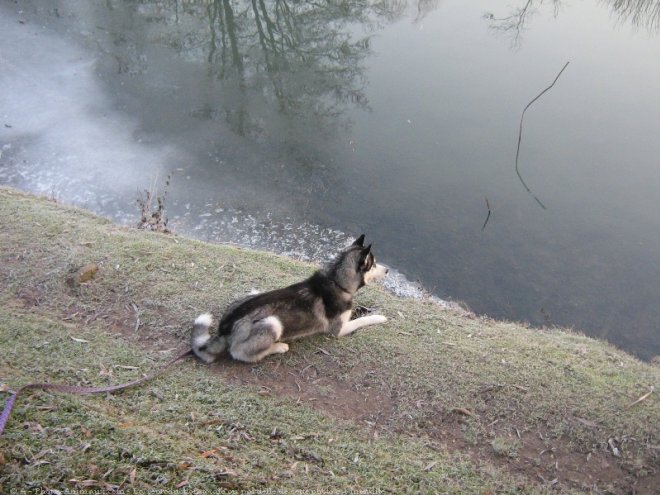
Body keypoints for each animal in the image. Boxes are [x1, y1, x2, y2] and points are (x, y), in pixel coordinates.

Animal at [189, 236, 386, 364]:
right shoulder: (338, 330)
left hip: (251, 294)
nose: (387, 270)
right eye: (374, 264)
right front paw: (380, 317)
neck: (336, 281)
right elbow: (363, 320)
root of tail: (224, 329)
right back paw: (278, 347)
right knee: (239, 353)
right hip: (273, 323)